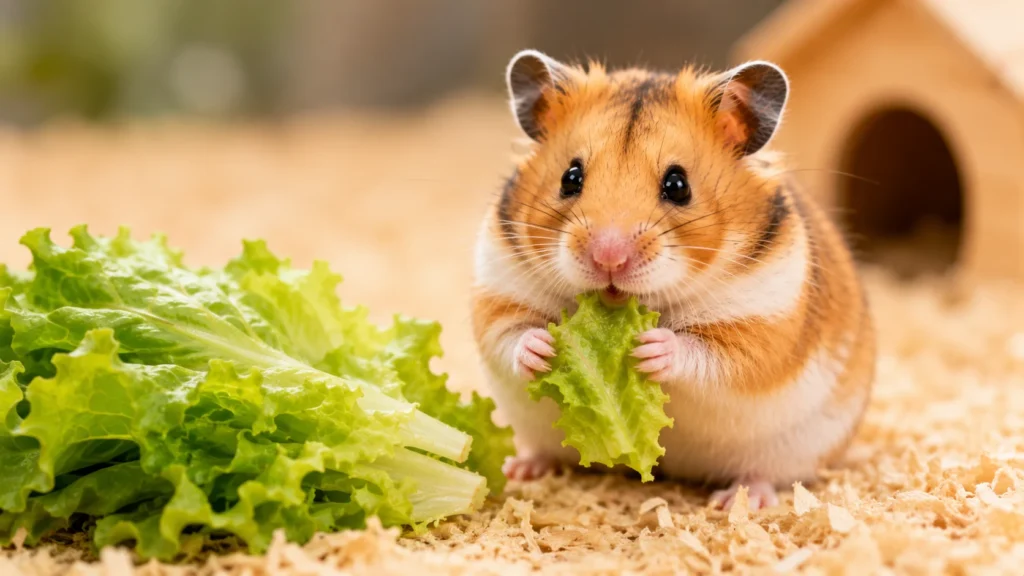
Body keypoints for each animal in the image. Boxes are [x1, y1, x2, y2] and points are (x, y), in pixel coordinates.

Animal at [470, 50, 875, 510]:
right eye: (570, 177)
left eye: (678, 185)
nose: (608, 257)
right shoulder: (498, 290)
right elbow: (509, 334)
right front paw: (545, 347)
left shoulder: (761, 325)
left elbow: (708, 356)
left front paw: (650, 348)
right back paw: (519, 468)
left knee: (765, 475)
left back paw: (739, 499)